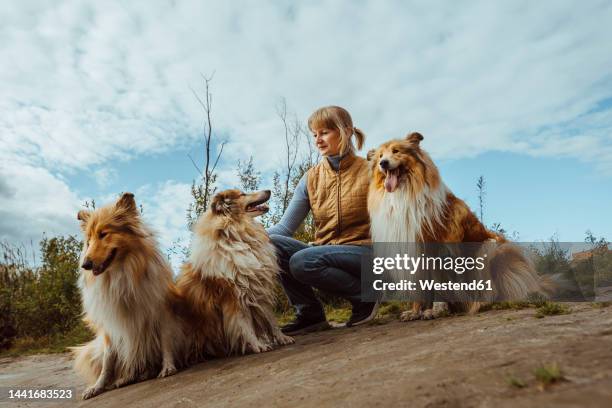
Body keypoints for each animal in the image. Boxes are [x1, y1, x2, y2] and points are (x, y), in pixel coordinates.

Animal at [177, 189, 294, 360]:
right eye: (242, 194)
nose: (268, 191)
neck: (237, 236)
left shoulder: (259, 291)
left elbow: (271, 321)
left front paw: (282, 338)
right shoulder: (234, 297)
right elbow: (244, 325)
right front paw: (258, 345)